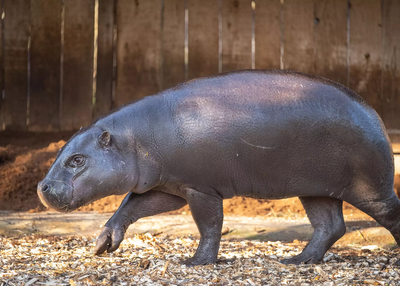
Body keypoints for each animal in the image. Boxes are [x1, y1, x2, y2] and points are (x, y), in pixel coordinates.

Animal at [38, 70, 400, 268]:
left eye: (77, 160)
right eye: (64, 151)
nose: (42, 187)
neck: (132, 139)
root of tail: (374, 115)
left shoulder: (199, 188)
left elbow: (209, 226)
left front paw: (195, 263)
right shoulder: (168, 186)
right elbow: (131, 206)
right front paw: (101, 244)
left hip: (369, 187)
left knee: (388, 213)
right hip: (314, 188)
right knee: (330, 226)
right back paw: (298, 261)